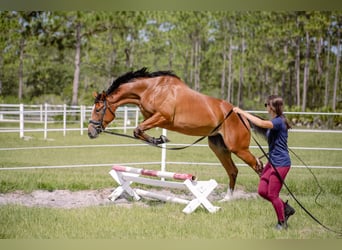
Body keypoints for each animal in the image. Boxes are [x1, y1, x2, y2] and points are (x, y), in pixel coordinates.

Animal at [87, 67, 262, 200]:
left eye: (98, 109)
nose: (90, 132)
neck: (151, 89)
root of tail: (241, 115)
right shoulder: (151, 118)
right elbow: (139, 130)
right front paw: (159, 139)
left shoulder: (162, 117)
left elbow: (137, 130)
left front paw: (160, 139)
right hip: (219, 147)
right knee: (233, 170)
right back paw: (227, 198)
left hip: (238, 148)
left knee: (257, 165)